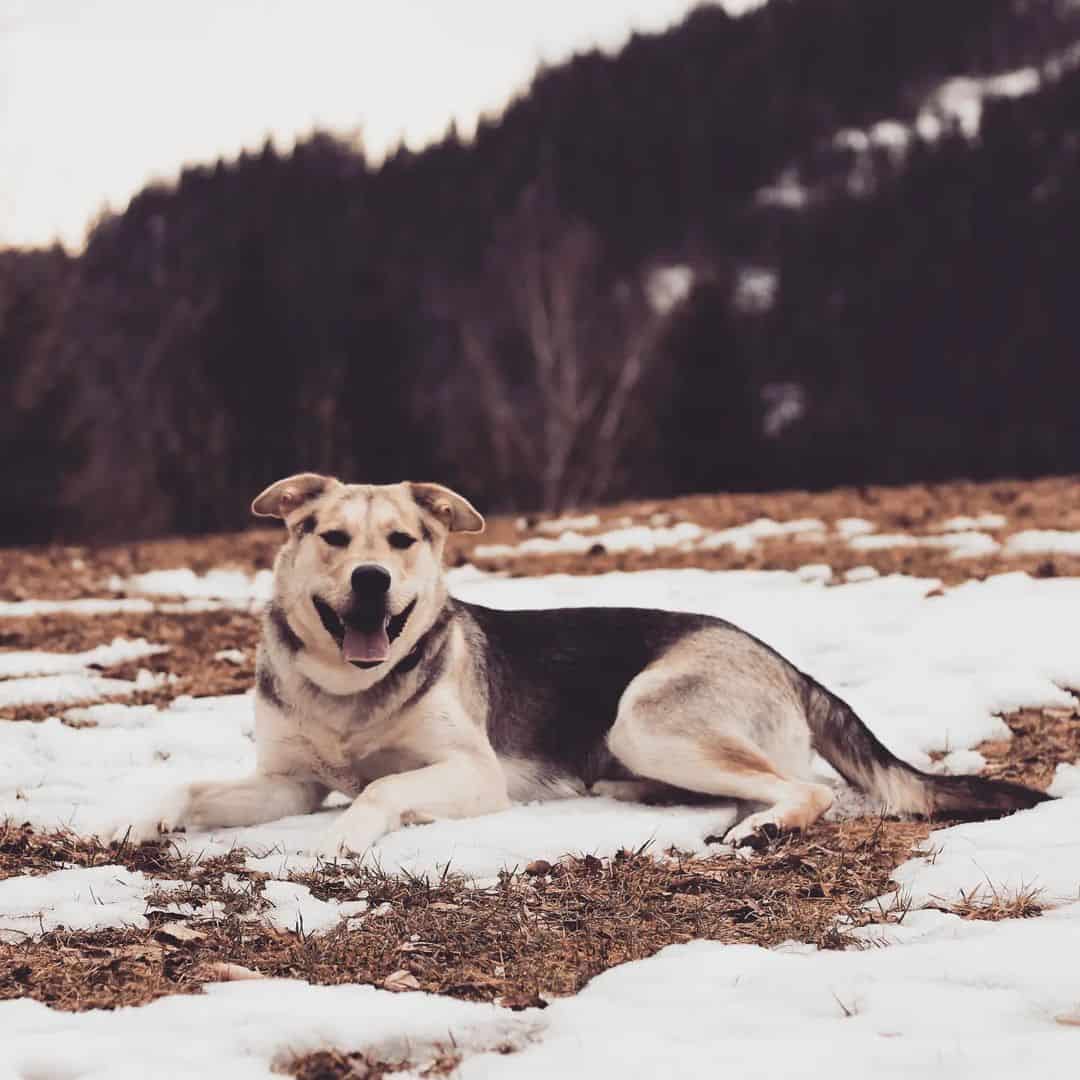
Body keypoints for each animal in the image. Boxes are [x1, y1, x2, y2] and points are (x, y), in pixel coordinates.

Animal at [130, 475, 1049, 859]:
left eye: (402, 540)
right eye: (330, 537)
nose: (371, 579)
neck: (348, 693)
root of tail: (784, 661)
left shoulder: (470, 774)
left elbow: (383, 789)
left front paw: (349, 831)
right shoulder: (285, 782)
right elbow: (183, 787)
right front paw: (132, 823)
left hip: (646, 718)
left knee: (806, 788)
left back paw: (762, 827)